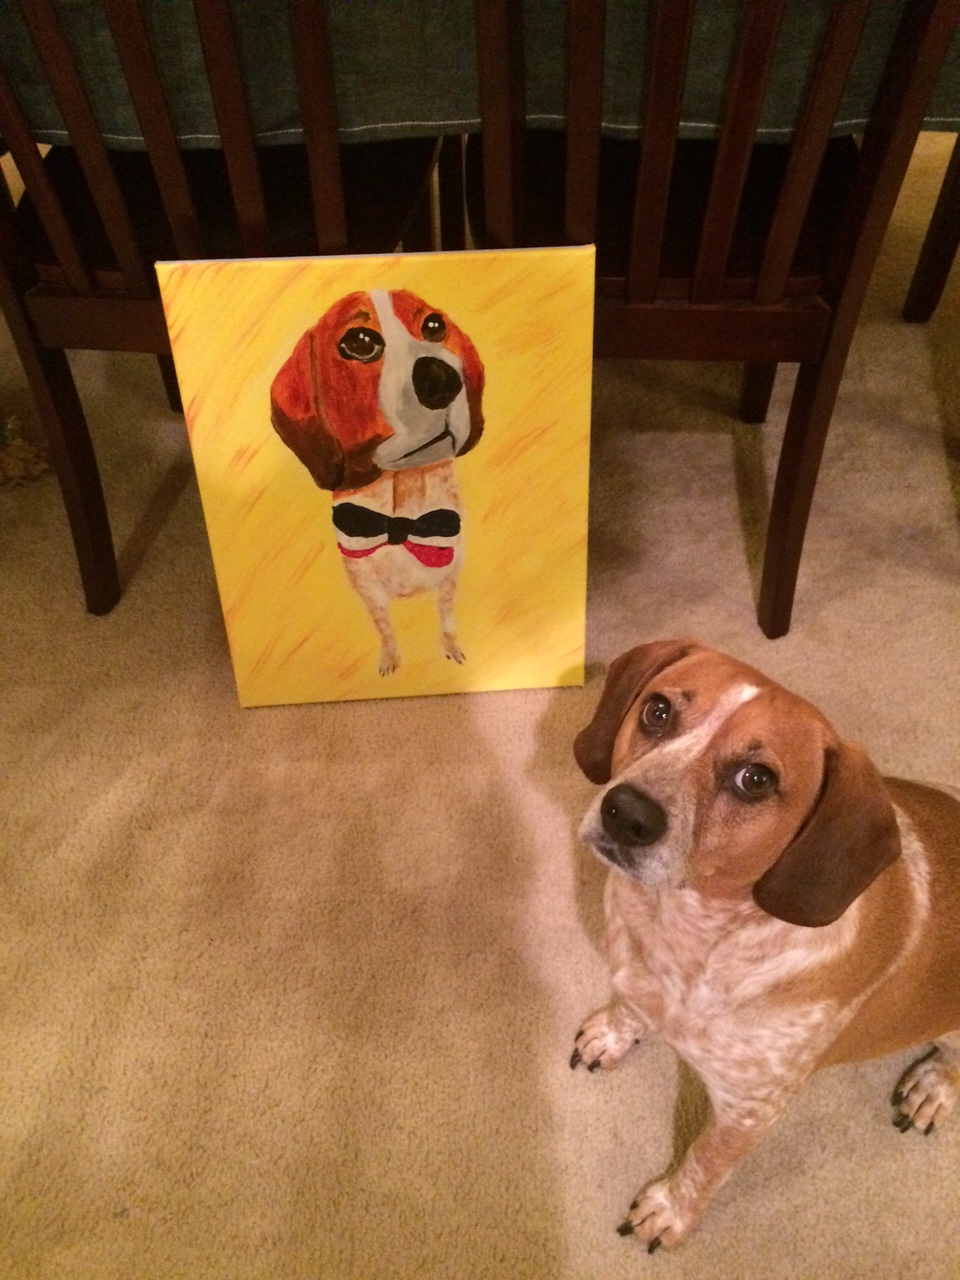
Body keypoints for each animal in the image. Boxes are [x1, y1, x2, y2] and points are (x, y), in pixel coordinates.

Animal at [570, 640, 960, 1249]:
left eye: (755, 779)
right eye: (658, 711)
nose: (627, 812)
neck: (686, 934)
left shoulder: (748, 1111)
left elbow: (705, 1163)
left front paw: (670, 1211)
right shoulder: (633, 974)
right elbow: (628, 1004)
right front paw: (613, 1034)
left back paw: (934, 1087)